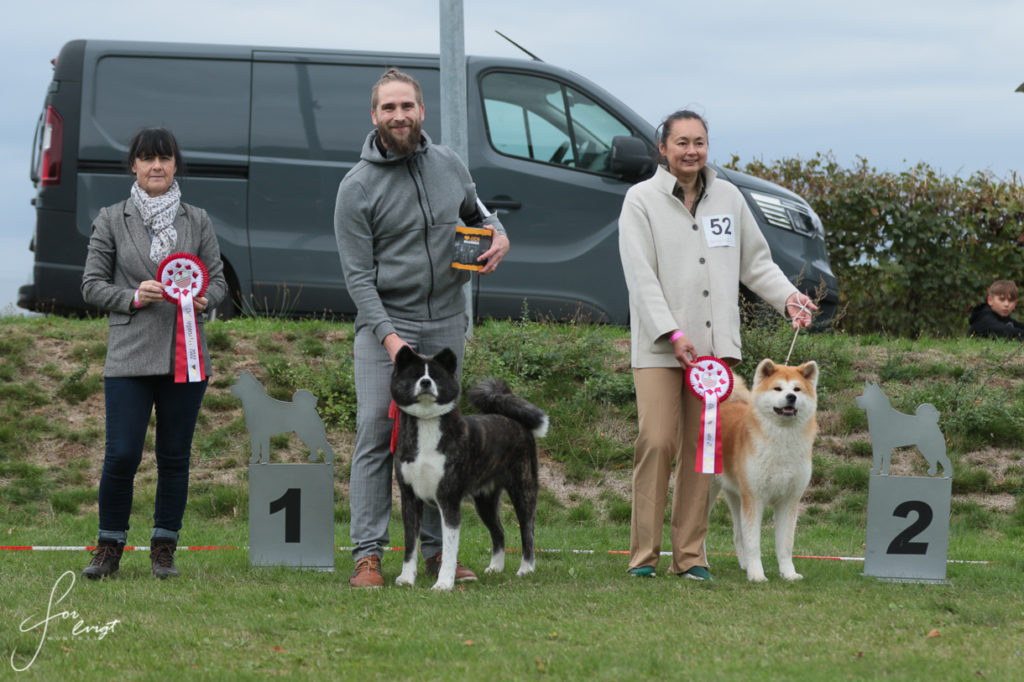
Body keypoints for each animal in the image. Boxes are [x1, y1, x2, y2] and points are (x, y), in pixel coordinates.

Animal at [391, 348, 552, 585]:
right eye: (415, 375)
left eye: (436, 376)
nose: (426, 382)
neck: (427, 426)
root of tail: (516, 422)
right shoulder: (409, 498)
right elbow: (410, 544)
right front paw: (406, 578)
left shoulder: (448, 499)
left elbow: (449, 549)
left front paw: (443, 583)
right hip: (485, 501)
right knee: (499, 532)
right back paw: (495, 567)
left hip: (524, 490)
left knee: (528, 532)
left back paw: (526, 569)